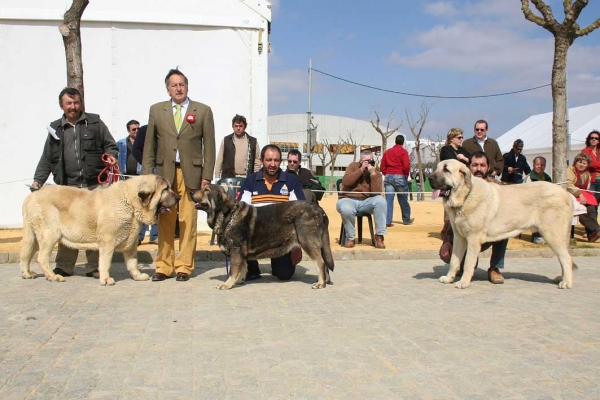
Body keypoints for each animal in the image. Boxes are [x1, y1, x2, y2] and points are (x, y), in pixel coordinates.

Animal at [20, 175, 178, 284]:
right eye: (165, 189)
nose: (178, 197)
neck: (130, 202)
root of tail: (31, 195)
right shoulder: (107, 241)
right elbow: (105, 261)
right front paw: (106, 279)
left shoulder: (131, 242)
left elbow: (133, 262)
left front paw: (137, 276)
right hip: (50, 234)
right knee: (41, 258)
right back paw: (53, 276)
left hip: (35, 236)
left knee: (27, 254)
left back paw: (27, 273)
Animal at [192, 183, 336, 290]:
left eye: (206, 190)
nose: (191, 192)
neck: (228, 215)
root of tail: (319, 210)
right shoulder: (241, 253)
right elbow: (242, 268)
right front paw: (239, 281)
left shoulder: (236, 250)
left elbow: (233, 270)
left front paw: (227, 284)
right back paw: (326, 281)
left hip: (307, 241)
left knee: (320, 262)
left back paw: (320, 283)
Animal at [428, 159, 576, 288]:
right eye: (436, 168)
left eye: (446, 169)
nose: (429, 178)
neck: (465, 196)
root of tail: (565, 193)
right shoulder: (459, 238)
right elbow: (454, 261)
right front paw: (449, 278)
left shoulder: (473, 239)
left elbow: (468, 263)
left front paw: (463, 282)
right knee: (563, 257)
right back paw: (562, 278)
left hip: (551, 234)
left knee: (566, 258)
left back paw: (566, 282)